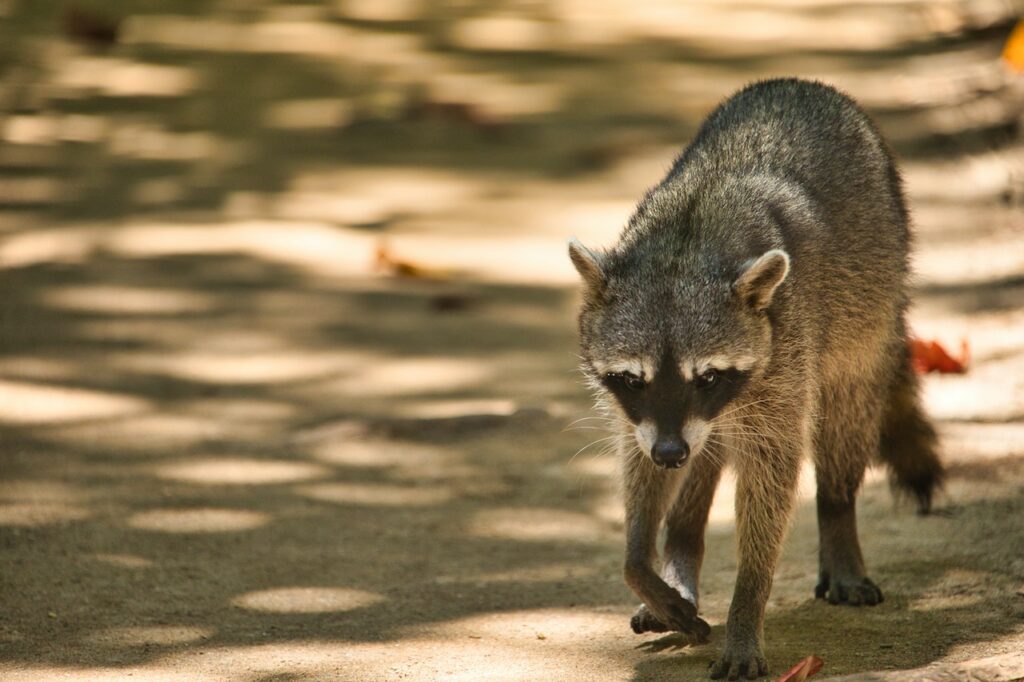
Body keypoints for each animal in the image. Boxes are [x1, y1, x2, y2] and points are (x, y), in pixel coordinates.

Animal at [569, 78, 942, 675]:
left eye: (708, 377)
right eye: (633, 379)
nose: (670, 452)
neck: (684, 242)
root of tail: (799, 82)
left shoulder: (782, 356)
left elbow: (773, 473)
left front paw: (748, 602)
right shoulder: (645, 416)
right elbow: (639, 459)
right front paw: (641, 558)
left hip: (869, 300)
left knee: (846, 417)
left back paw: (837, 517)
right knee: (704, 458)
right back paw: (681, 547)